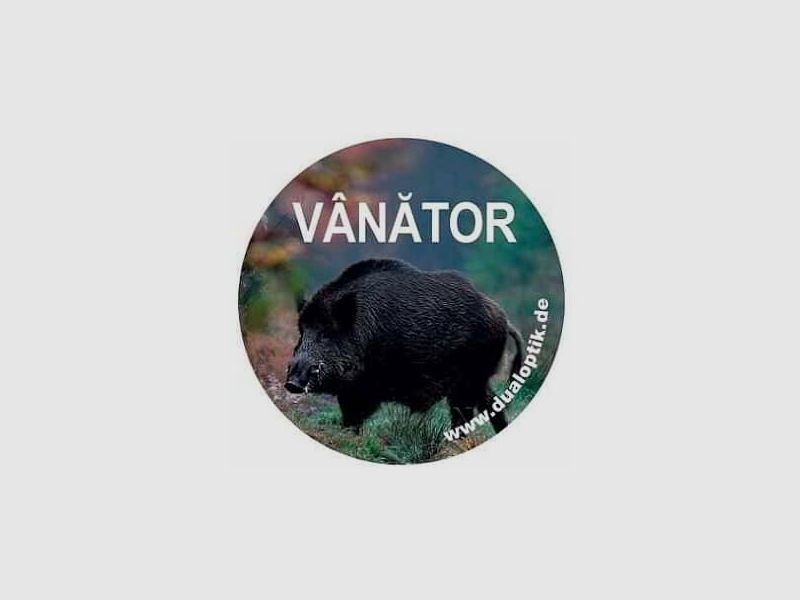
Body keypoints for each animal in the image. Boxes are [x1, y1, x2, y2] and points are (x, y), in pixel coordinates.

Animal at [284, 258, 523, 433]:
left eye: (326, 333)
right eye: (302, 332)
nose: (292, 382)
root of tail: (504, 319)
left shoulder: (365, 388)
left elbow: (355, 416)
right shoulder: (351, 389)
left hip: (469, 378)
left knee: (466, 411)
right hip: (477, 379)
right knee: (491, 403)